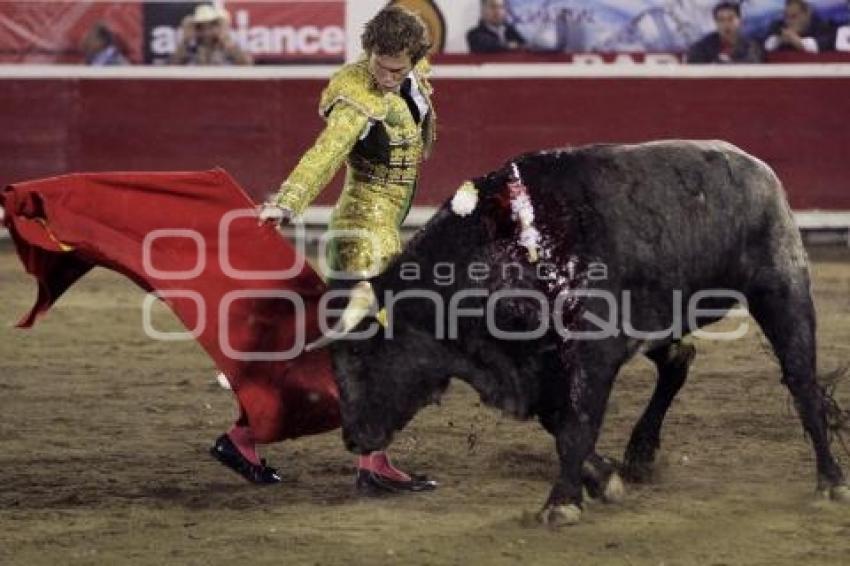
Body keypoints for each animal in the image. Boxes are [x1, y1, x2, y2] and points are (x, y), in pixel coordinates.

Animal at [314, 140, 844, 524]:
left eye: (363, 356)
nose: (353, 438)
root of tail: (758, 169)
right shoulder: (538, 367)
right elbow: (560, 423)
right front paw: (604, 478)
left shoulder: (592, 354)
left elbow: (576, 425)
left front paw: (561, 503)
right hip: (660, 318)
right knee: (677, 361)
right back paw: (640, 453)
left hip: (782, 290)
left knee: (802, 383)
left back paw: (831, 481)